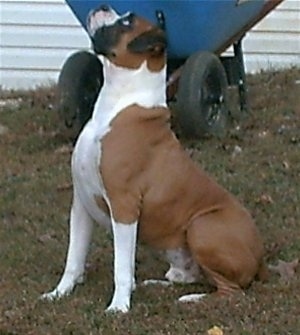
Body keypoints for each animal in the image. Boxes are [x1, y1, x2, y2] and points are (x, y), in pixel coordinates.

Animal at [40, 5, 268, 314]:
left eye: (127, 22)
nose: (102, 7)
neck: (118, 103)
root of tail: (261, 259)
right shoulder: (81, 204)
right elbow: (74, 258)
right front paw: (59, 293)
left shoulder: (124, 207)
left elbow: (121, 267)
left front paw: (119, 307)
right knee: (190, 276)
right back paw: (157, 284)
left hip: (202, 226)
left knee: (232, 292)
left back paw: (192, 299)